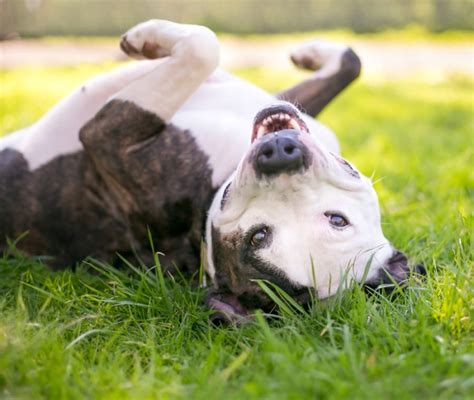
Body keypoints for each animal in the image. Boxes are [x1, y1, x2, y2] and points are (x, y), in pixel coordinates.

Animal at [0, 20, 422, 324]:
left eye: (257, 237)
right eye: (338, 220)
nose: (279, 155)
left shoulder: (106, 136)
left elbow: (203, 47)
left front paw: (144, 40)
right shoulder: (287, 100)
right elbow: (352, 62)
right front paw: (310, 52)